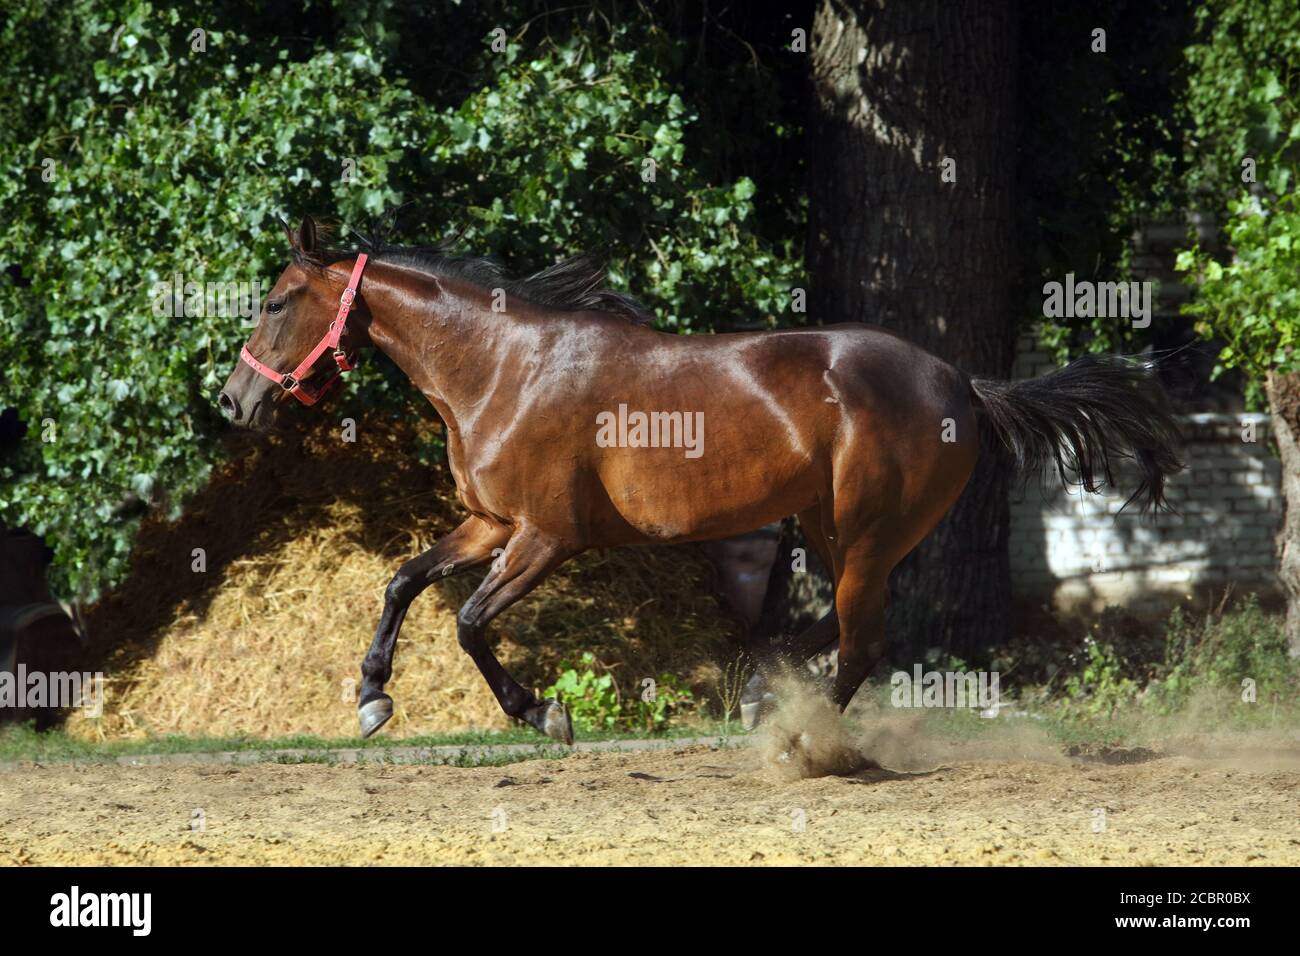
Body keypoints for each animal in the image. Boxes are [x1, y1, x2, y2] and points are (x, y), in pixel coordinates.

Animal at [218, 218, 1185, 749]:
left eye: (274, 300)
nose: (235, 401)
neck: (501, 366)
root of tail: (963, 385)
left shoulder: (546, 538)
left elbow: (466, 622)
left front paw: (543, 713)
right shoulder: (492, 523)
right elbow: (403, 581)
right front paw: (372, 698)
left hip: (869, 535)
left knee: (863, 644)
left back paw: (795, 742)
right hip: (829, 530)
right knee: (844, 636)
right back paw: (766, 705)